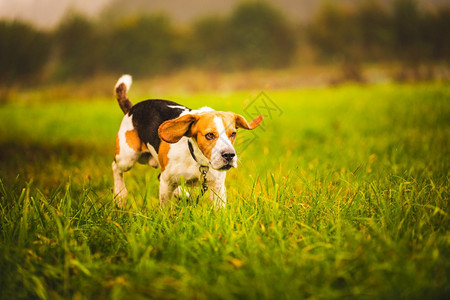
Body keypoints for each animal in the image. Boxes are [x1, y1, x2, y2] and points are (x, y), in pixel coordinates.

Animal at [110, 74, 262, 209]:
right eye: (209, 135)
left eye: (233, 134)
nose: (229, 155)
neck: (198, 160)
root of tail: (132, 109)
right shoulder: (166, 182)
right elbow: (165, 209)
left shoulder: (217, 186)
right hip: (127, 157)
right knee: (116, 167)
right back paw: (120, 196)